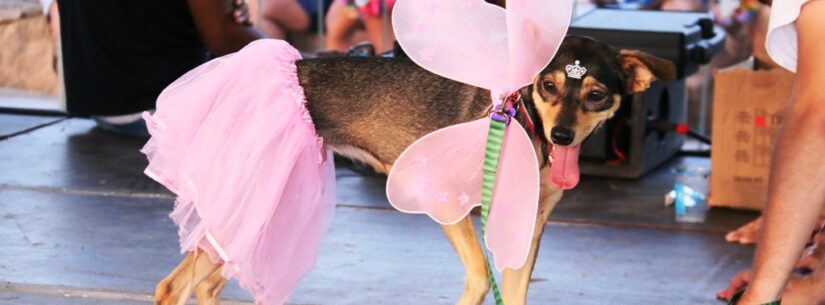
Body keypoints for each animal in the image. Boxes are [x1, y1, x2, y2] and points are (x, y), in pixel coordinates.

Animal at [156, 36, 676, 304]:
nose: (563, 136)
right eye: (547, 86)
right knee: (172, 287)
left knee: (205, 286)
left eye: (596, 95)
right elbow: (478, 278)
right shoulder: (447, 204)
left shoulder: (525, 231)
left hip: (258, 210)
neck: (524, 127)